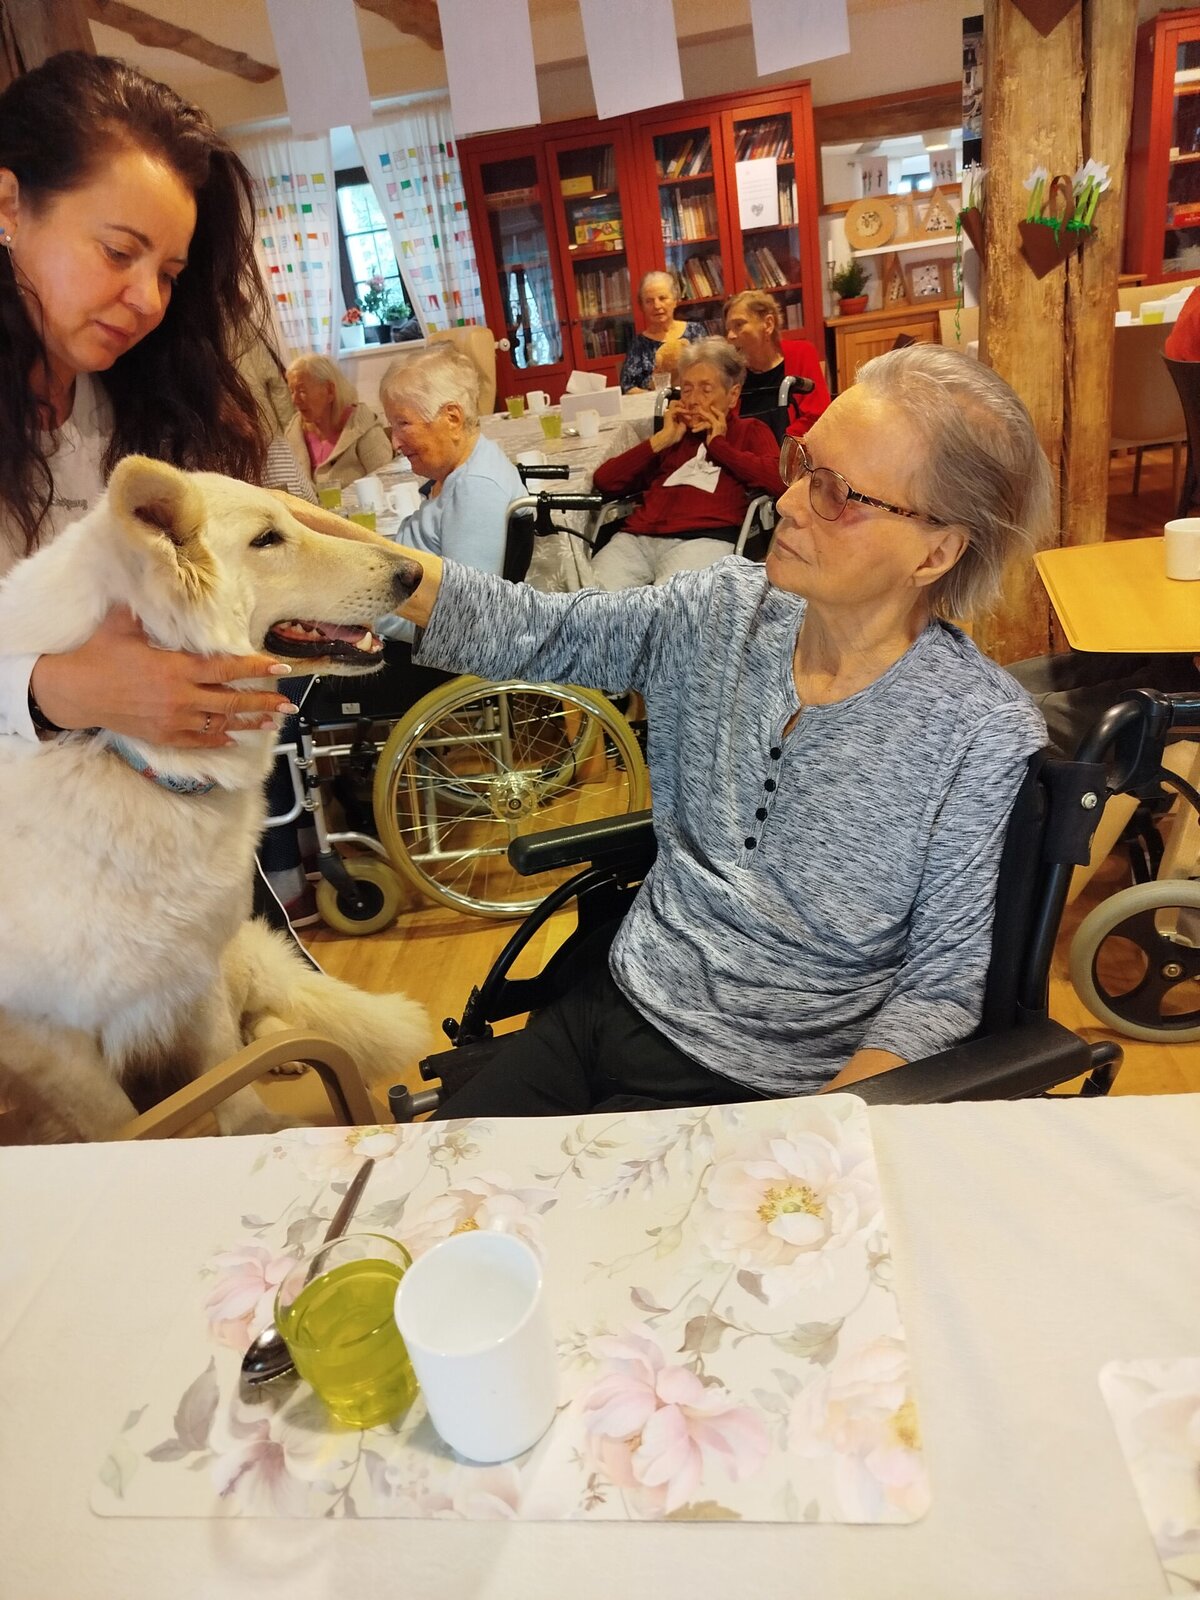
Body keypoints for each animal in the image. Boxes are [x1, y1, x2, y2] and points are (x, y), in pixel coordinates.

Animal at [0, 456, 430, 1142]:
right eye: (268, 539)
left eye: (292, 521)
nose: (414, 573)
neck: (126, 754)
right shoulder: (48, 1039)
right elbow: (115, 1121)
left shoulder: (192, 956)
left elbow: (223, 1066)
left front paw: (254, 1123)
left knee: (257, 1015)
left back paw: (283, 1051)